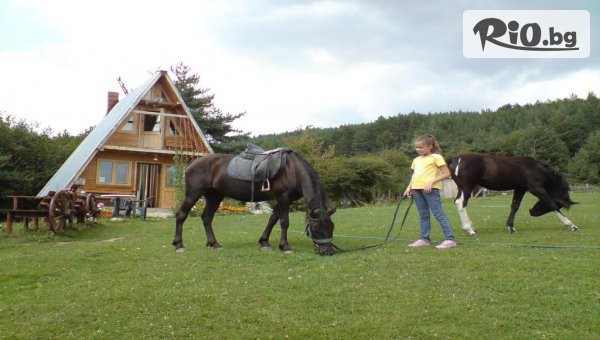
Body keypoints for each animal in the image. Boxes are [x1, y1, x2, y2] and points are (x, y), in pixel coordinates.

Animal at [172, 151, 338, 255]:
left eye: (332, 227)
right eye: (316, 228)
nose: (328, 252)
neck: (292, 171)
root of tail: (192, 164)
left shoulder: (281, 200)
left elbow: (272, 220)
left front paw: (264, 242)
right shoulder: (283, 198)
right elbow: (284, 222)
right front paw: (285, 246)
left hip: (215, 196)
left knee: (207, 218)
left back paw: (213, 243)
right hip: (193, 194)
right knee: (181, 215)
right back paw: (179, 245)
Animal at [448, 153, 580, 235]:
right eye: (560, 205)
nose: (532, 212)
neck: (535, 168)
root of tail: (456, 158)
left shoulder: (520, 189)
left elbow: (515, 206)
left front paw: (511, 227)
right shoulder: (536, 189)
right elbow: (551, 203)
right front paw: (572, 225)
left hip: (462, 189)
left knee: (458, 202)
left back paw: (472, 227)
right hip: (467, 188)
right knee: (461, 203)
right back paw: (469, 230)